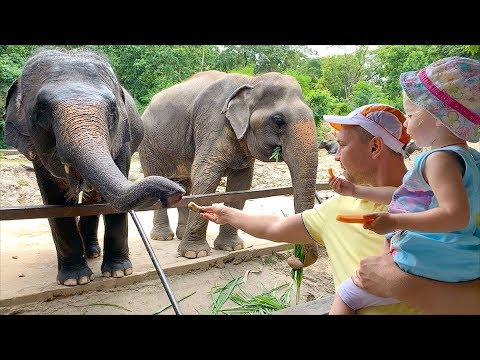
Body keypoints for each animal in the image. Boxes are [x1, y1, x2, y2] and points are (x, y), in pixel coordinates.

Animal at [2, 47, 185, 286]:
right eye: (41, 110)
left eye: (113, 111)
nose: (176, 193)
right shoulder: (35, 150)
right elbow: (55, 201)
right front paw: (75, 280)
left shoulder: (122, 141)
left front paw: (119, 273)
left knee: (93, 198)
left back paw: (92, 252)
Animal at [139, 69, 318, 264]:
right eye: (278, 120)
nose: (295, 259)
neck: (251, 81)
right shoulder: (213, 122)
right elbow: (205, 176)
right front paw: (195, 254)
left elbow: (241, 185)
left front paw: (231, 248)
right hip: (148, 146)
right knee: (156, 178)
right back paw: (163, 237)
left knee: (184, 185)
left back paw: (180, 234)